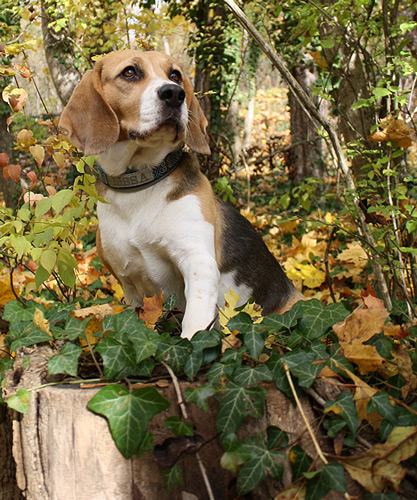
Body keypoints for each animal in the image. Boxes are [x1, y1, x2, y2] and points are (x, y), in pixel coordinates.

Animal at [59, 49, 302, 340]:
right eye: (129, 72)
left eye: (175, 75)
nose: (174, 94)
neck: (140, 185)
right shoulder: (127, 283)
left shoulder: (198, 261)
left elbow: (194, 326)